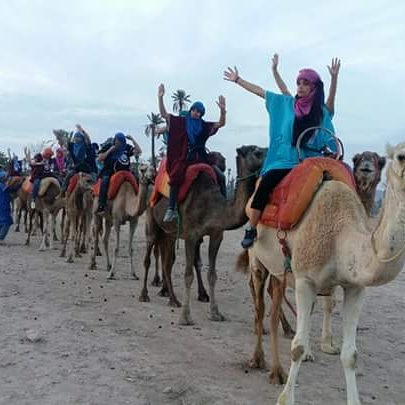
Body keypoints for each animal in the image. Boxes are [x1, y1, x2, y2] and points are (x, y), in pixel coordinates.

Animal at [139, 145, 266, 322]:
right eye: (257, 152)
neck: (213, 207)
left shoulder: (216, 235)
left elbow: (212, 274)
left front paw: (215, 313)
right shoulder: (191, 235)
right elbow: (188, 274)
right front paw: (185, 317)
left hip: (169, 233)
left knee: (167, 262)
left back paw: (173, 299)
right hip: (151, 219)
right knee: (148, 257)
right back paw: (144, 295)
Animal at [238, 140, 405, 404]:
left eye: (378, 161)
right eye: (400, 156)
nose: (366, 169)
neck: (341, 235)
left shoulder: (356, 287)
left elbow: (351, 354)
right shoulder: (306, 280)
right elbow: (297, 347)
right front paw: (286, 398)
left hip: (281, 271)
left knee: (274, 303)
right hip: (257, 259)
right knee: (260, 304)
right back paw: (259, 360)